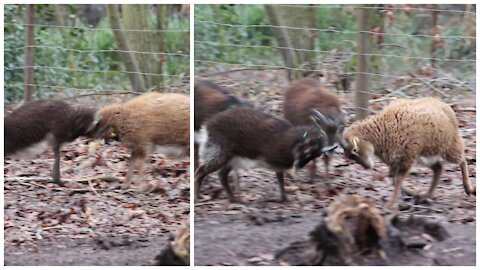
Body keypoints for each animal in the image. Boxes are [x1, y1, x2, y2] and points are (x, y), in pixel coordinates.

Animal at [194, 106, 334, 204]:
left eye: (315, 156)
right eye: (307, 150)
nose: (298, 166)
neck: (289, 140)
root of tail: (208, 126)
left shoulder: (278, 164)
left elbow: (280, 178)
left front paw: (284, 198)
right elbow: (281, 177)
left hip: (232, 157)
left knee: (222, 175)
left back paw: (233, 199)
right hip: (220, 150)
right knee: (200, 171)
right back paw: (197, 197)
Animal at [344, 98, 474, 210]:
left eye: (355, 150)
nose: (367, 167)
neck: (383, 131)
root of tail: (446, 107)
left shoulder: (408, 158)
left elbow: (397, 180)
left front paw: (392, 205)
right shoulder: (396, 162)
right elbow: (394, 179)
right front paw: (410, 193)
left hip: (449, 147)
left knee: (462, 160)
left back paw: (469, 189)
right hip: (426, 155)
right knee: (438, 168)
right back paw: (426, 196)